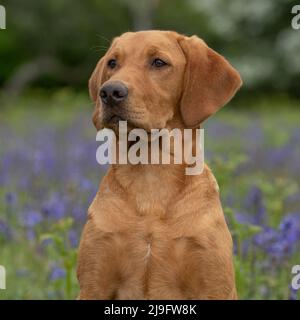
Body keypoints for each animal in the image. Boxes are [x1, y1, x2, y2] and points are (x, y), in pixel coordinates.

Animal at [77, 30, 241, 300]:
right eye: (113, 63)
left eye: (158, 62)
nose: (109, 92)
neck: (151, 173)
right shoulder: (94, 283)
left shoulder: (214, 286)